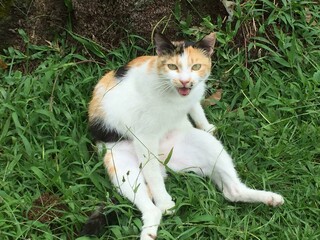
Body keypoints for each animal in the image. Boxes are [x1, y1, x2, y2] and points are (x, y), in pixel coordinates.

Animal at [86, 32, 284, 240]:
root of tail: (165, 164)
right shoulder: (143, 137)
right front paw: (165, 203)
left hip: (208, 146)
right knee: (151, 203)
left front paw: (207, 126)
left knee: (233, 192)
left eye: (196, 66)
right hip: (122, 167)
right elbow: (152, 176)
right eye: (172, 67)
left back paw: (270, 198)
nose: (184, 81)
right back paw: (155, 219)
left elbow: (196, 108)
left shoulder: (194, 96)